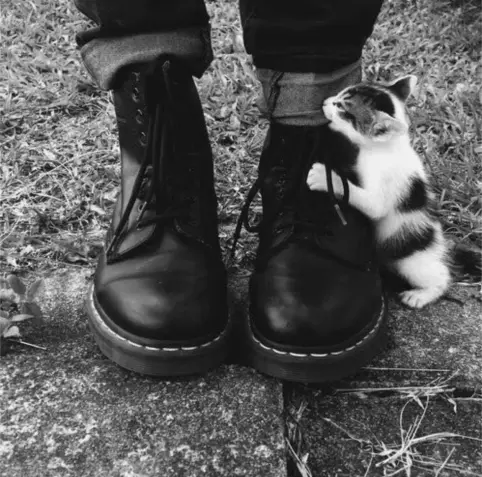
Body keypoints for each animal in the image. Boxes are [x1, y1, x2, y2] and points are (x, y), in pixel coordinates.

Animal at [306, 73, 480, 306]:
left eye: (342, 108)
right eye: (339, 95)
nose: (324, 102)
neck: (387, 148)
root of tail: (442, 247)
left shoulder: (383, 192)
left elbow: (368, 202)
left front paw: (322, 177)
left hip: (411, 261)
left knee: (441, 276)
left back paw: (421, 295)